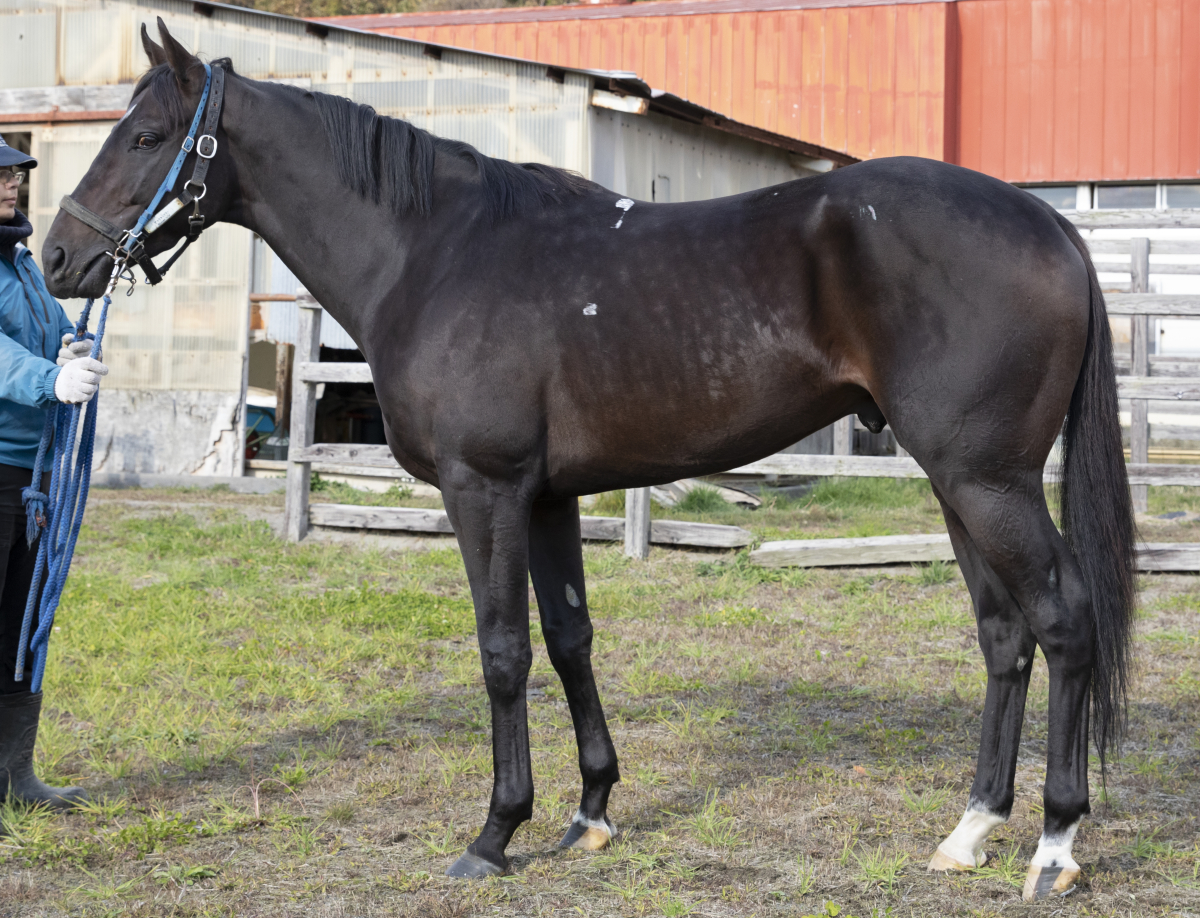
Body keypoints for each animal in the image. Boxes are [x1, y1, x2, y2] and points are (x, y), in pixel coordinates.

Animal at [43, 20, 1136, 899]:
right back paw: (972, 830)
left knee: (1063, 621)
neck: (435, 253)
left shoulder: (483, 491)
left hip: (986, 482)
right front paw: (591, 811)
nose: (57, 258)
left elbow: (502, 651)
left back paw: (1054, 844)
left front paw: (495, 833)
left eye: (145, 136)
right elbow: (570, 639)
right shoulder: (548, 498)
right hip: (959, 485)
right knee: (1004, 636)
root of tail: (1051, 223)